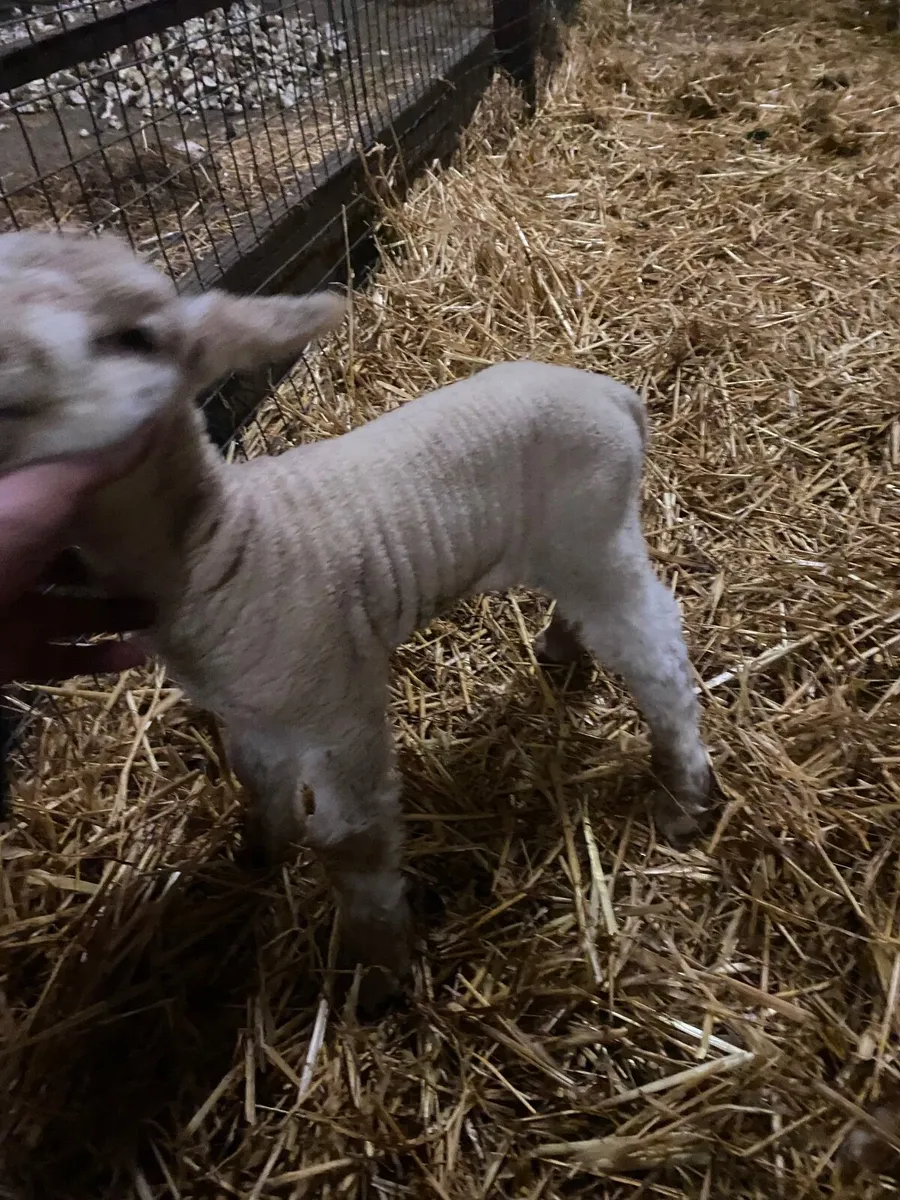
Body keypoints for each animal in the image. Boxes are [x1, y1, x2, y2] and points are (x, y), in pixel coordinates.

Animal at [0, 228, 712, 1007]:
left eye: (135, 337)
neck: (222, 542)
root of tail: (615, 395)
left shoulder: (341, 707)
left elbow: (353, 843)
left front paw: (380, 974)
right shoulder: (252, 711)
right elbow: (257, 781)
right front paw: (259, 853)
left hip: (594, 527)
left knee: (655, 646)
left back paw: (686, 790)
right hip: (566, 543)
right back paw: (561, 646)